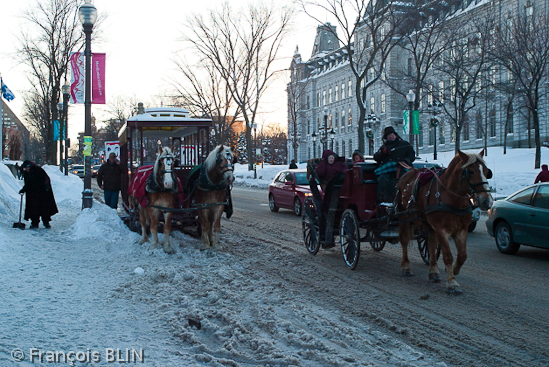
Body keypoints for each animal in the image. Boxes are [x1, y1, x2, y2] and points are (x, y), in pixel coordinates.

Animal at [394, 150, 492, 296]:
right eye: (471, 172)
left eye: (486, 171)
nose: (487, 201)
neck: (452, 198)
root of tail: (405, 176)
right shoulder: (441, 229)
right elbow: (448, 256)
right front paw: (452, 283)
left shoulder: (461, 229)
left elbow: (462, 255)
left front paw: (454, 270)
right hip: (404, 217)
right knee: (404, 240)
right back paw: (406, 267)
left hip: (428, 224)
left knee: (430, 243)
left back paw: (434, 272)